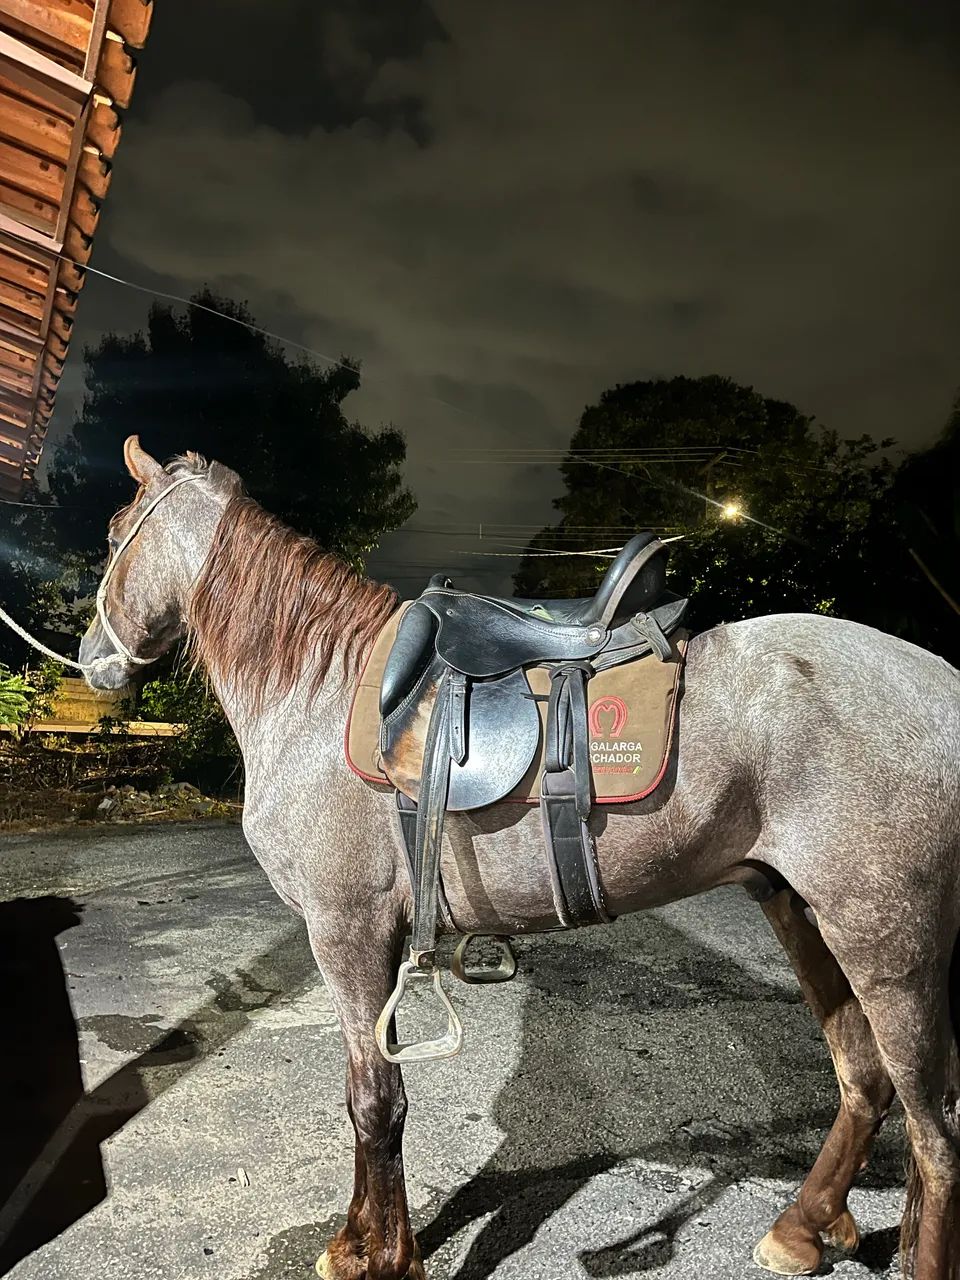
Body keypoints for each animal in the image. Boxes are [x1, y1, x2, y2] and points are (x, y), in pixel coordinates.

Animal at [80, 435, 960, 1280]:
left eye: (117, 533)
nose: (92, 659)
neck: (317, 694)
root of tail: (942, 677)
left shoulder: (346, 931)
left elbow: (375, 1099)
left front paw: (384, 1256)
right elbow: (367, 1094)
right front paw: (359, 1242)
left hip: (887, 942)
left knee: (936, 1130)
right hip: (799, 910)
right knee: (867, 1080)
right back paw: (803, 1229)